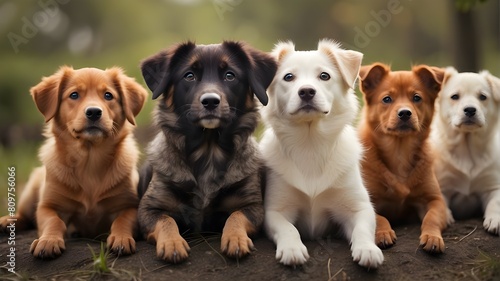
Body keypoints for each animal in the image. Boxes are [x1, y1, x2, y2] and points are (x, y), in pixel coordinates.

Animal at [0, 66, 147, 258]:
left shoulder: (128, 205)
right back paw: (8, 220)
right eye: (74, 95)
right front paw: (48, 241)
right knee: (23, 214)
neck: (89, 161)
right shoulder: (48, 206)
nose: (94, 112)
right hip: (31, 189)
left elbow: (122, 220)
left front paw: (121, 238)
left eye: (108, 95)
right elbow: (54, 221)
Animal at [138, 41, 278, 262]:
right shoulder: (149, 209)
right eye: (189, 75)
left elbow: (236, 216)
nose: (210, 101)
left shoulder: (253, 206)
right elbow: (166, 220)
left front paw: (235, 238)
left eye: (230, 75)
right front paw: (172, 243)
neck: (209, 150)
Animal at [260, 39, 384, 266]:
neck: (311, 144)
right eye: (288, 77)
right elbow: (288, 229)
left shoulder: (358, 207)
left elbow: (362, 229)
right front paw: (292, 248)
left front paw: (367, 249)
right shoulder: (276, 211)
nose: (307, 92)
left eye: (324, 76)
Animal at [358, 64, 452, 254]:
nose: (405, 113)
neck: (399, 151)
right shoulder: (368, 199)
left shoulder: (434, 199)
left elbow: (431, 217)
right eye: (387, 99)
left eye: (416, 97)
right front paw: (383, 233)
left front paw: (432, 237)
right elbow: (379, 217)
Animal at [430, 67, 500, 234]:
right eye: (455, 96)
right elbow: (441, 201)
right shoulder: (442, 186)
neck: (467, 150)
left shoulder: (493, 185)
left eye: (483, 97)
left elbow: (496, 202)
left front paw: (495, 219)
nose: (470, 110)